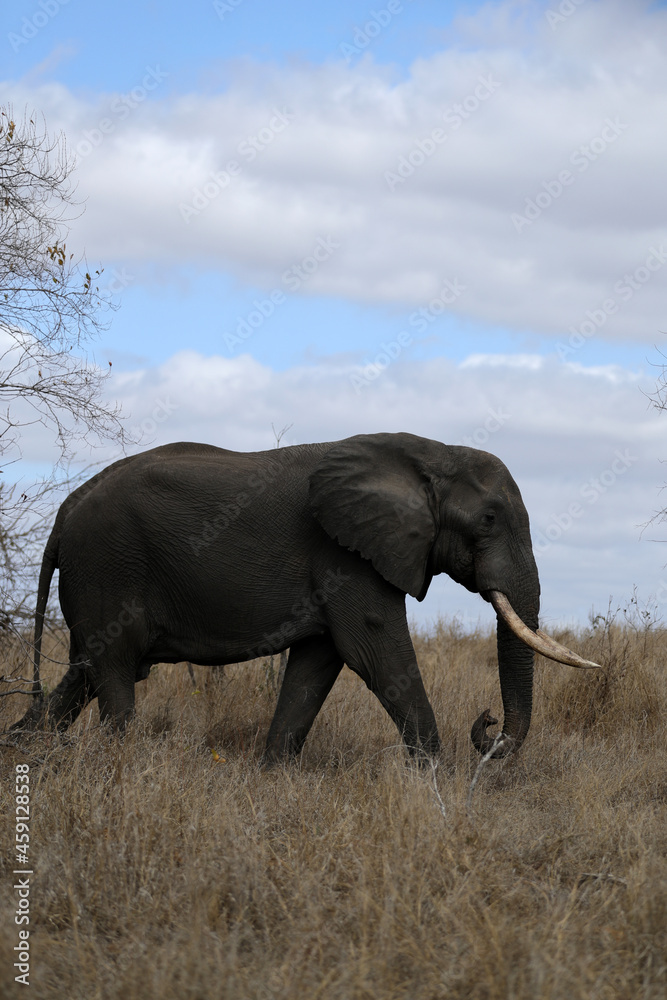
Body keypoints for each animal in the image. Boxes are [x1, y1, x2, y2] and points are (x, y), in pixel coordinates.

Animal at [15, 433, 597, 760]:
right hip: (108, 565)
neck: (431, 454)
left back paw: (28, 753)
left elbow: (317, 664)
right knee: (114, 676)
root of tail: (65, 513)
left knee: (83, 674)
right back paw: (116, 768)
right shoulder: (346, 554)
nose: (488, 724)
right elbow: (376, 653)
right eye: (489, 519)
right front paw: (436, 781)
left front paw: (274, 773)